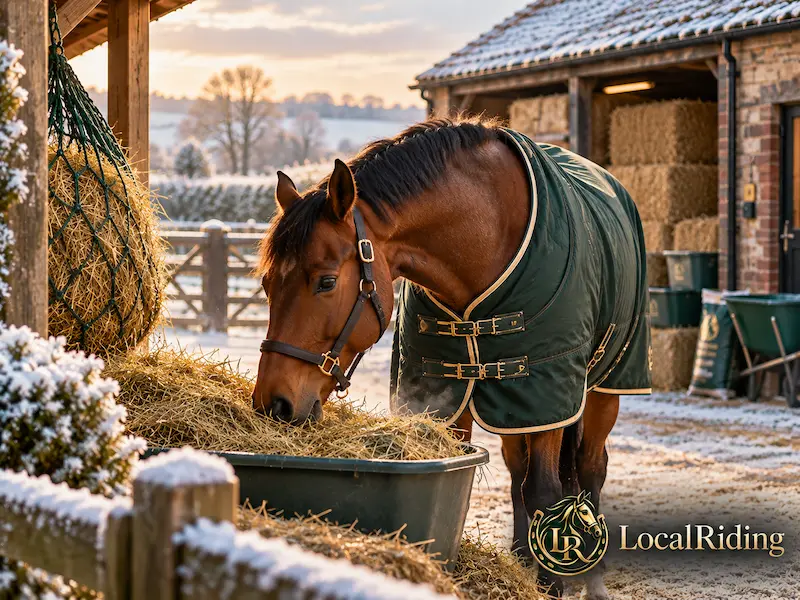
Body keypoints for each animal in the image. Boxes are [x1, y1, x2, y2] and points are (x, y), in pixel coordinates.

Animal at [253, 117, 651, 599]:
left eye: (326, 281)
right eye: (268, 283)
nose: (273, 403)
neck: (485, 236)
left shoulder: (547, 395)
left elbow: (545, 488)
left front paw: (552, 583)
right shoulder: (452, 395)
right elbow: (460, 472)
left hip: (604, 388)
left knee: (591, 467)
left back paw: (591, 575)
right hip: (510, 407)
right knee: (517, 470)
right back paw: (523, 557)